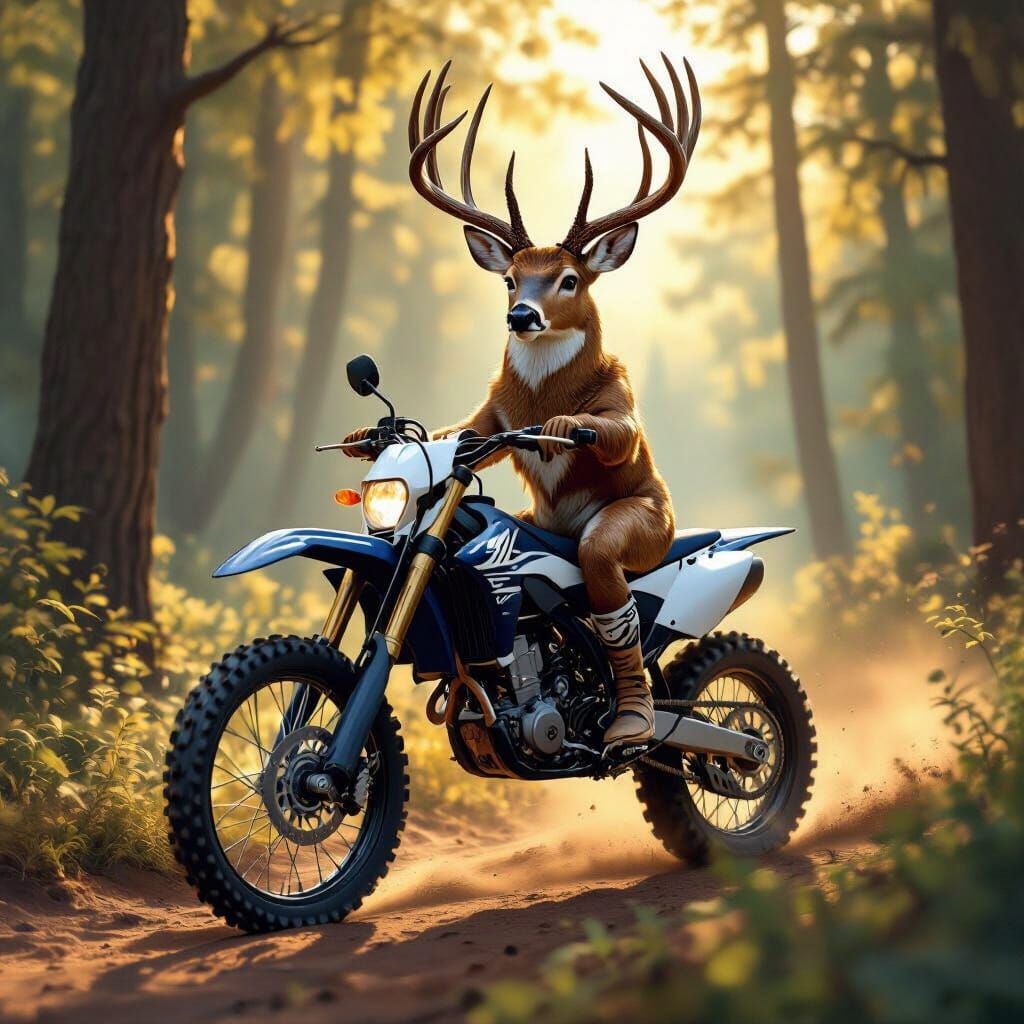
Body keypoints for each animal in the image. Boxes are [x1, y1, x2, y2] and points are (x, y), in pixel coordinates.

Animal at [345, 55, 701, 748]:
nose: (521, 315)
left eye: (569, 280)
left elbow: (616, 430)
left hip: (645, 534)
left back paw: (637, 720)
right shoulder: (490, 417)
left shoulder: (617, 398)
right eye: (510, 278)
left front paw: (567, 425)